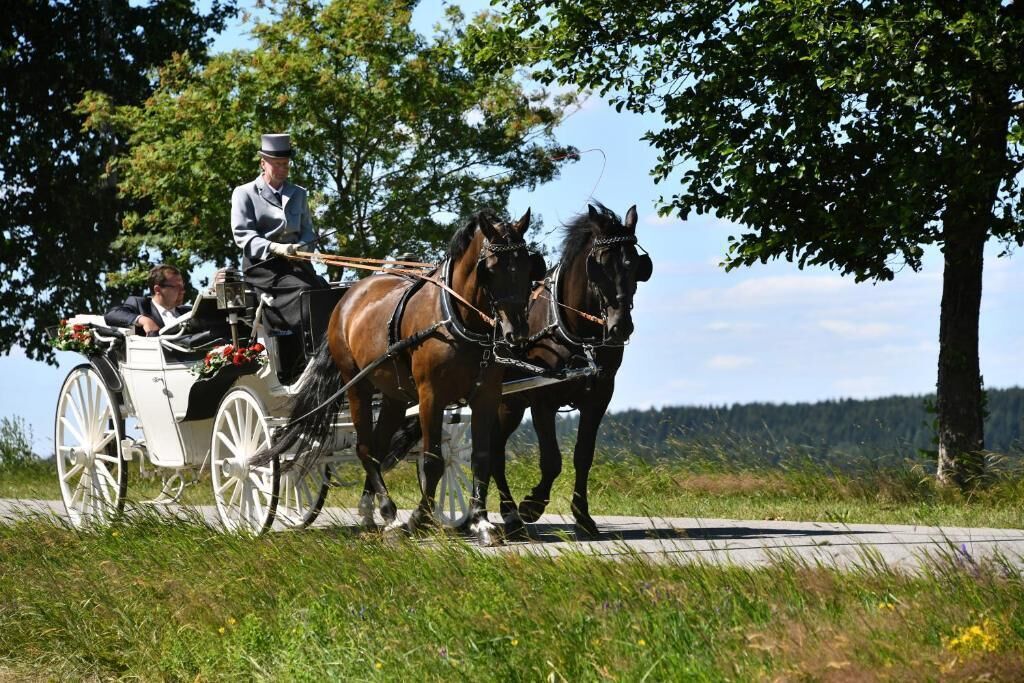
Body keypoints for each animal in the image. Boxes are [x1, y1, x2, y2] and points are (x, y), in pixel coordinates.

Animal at [256, 209, 545, 546]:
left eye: (527, 265)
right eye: (490, 268)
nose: (517, 333)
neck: (456, 318)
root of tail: (347, 299)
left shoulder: (486, 396)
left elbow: (481, 458)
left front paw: (481, 522)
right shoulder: (430, 396)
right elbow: (433, 461)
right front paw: (418, 520)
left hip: (393, 396)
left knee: (377, 448)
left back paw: (372, 512)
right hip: (357, 386)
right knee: (365, 448)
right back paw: (390, 513)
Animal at [490, 203, 652, 538]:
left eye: (635, 266)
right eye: (598, 266)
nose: (620, 327)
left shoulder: (598, 397)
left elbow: (583, 455)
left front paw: (583, 517)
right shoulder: (542, 400)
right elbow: (552, 459)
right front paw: (532, 505)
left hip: (511, 404)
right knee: (491, 451)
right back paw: (509, 515)